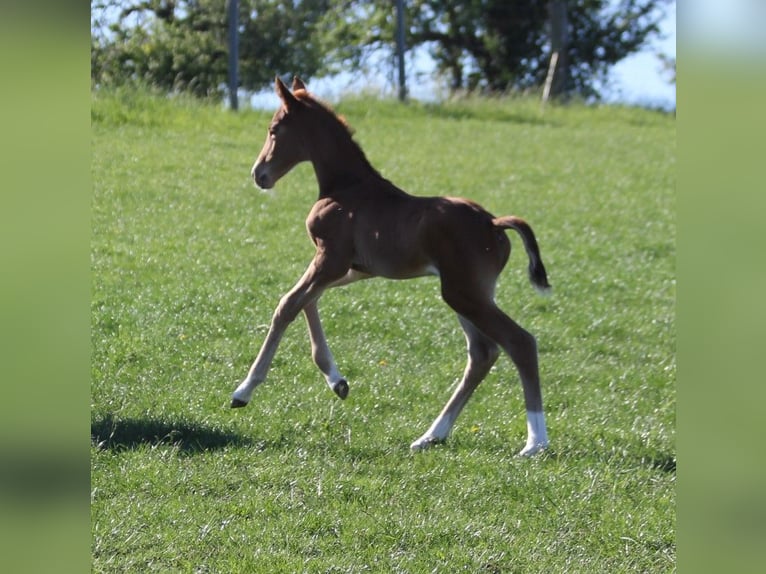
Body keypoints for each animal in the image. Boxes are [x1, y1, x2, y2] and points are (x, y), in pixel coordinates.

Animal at [231, 76, 556, 456]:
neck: (346, 187)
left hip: (463, 293)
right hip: (470, 293)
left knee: (519, 343)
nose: (259, 174)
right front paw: (337, 381)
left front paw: (243, 391)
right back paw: (431, 435)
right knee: (482, 353)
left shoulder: (330, 259)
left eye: (274, 129)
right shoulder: (351, 268)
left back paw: (535, 441)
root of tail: (494, 223)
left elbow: (287, 305)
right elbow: (308, 301)